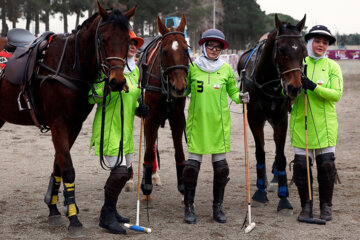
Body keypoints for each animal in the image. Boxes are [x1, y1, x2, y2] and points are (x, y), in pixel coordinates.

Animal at [0, 2, 135, 237]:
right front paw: (74, 219)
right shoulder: (58, 124)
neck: (68, 66)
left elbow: (58, 166)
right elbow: (68, 169)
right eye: (103, 39)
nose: (117, 82)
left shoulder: (74, 126)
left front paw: (53, 208)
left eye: (127, 40)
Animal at [136, 13, 190, 201]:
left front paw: (183, 185)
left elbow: (179, 152)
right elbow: (148, 151)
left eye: (186, 50)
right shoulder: (150, 117)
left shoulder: (177, 118)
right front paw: (146, 187)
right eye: (165, 51)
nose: (179, 87)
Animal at [238, 13, 306, 214]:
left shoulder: (281, 119)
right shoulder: (254, 119)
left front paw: (284, 198)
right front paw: (260, 191)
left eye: (303, 50)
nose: (294, 88)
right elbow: (260, 152)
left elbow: (281, 155)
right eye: (282, 50)